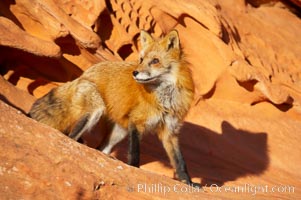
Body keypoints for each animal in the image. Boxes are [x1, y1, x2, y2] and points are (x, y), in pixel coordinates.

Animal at [29, 29, 196, 186]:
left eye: (155, 61)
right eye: (141, 59)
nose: (135, 72)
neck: (165, 98)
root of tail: (83, 74)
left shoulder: (170, 131)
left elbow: (180, 161)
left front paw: (188, 182)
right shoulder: (136, 122)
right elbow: (135, 152)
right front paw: (134, 169)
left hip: (118, 132)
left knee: (99, 148)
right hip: (96, 111)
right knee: (71, 137)